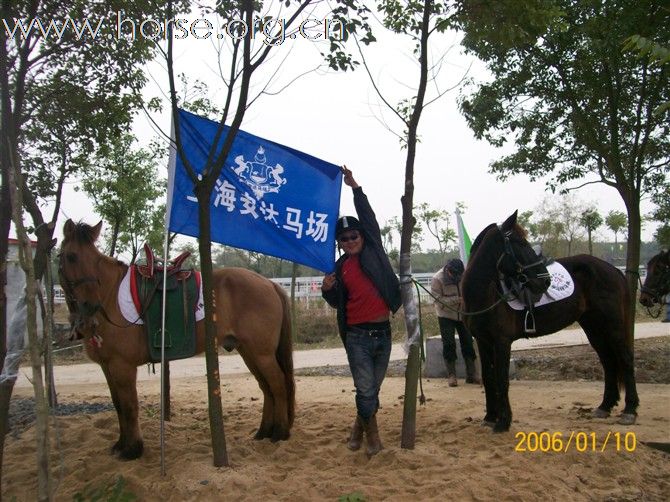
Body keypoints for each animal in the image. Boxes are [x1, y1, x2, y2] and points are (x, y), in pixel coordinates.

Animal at [59, 220, 296, 458]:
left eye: (94, 259)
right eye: (70, 256)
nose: (90, 305)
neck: (109, 297)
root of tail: (270, 283)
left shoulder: (122, 366)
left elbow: (129, 406)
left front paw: (133, 449)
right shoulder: (107, 367)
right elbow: (117, 405)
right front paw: (120, 444)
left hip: (261, 354)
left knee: (277, 384)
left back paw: (280, 433)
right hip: (249, 352)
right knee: (266, 387)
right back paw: (264, 431)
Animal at [462, 210, 640, 434]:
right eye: (520, 243)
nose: (545, 281)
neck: (486, 294)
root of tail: (613, 270)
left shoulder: (502, 342)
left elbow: (502, 380)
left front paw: (503, 422)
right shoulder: (483, 341)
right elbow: (488, 379)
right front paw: (490, 417)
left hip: (613, 326)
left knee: (625, 359)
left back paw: (630, 410)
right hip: (594, 327)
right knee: (608, 361)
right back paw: (604, 406)